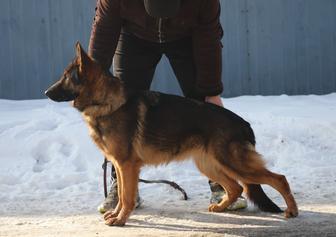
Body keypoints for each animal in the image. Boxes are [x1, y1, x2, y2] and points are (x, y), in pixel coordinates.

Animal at [45, 42, 300, 226]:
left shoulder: (127, 165)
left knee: (278, 178)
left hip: (233, 164)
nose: (46, 92)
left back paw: (292, 210)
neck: (106, 102)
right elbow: (123, 195)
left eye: (66, 77)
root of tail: (244, 123)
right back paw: (220, 207)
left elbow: (127, 197)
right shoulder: (119, 165)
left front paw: (121, 219)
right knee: (237, 188)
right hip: (209, 164)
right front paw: (117, 214)